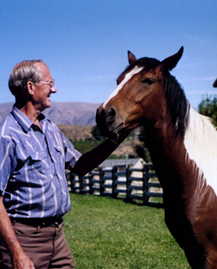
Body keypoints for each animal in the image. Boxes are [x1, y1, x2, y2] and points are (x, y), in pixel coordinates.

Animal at [96, 48, 217, 268]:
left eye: (148, 80)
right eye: (118, 80)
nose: (104, 115)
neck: (202, 185)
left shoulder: (210, 255)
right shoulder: (192, 252)